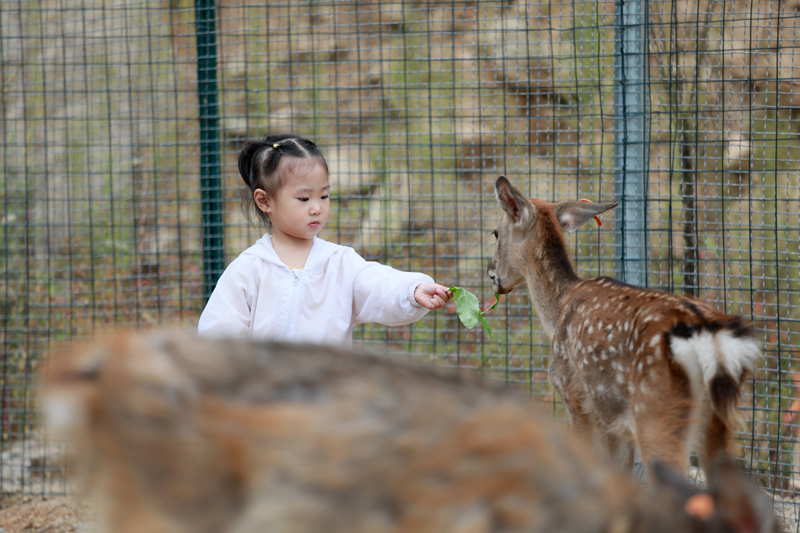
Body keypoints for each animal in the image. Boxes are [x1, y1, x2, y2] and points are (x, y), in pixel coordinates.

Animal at [488, 175, 764, 478]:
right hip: (718, 421)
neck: (559, 308)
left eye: (495, 233)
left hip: (655, 411)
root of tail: (711, 341)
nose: (491, 272)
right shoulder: (614, 423)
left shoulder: (575, 398)